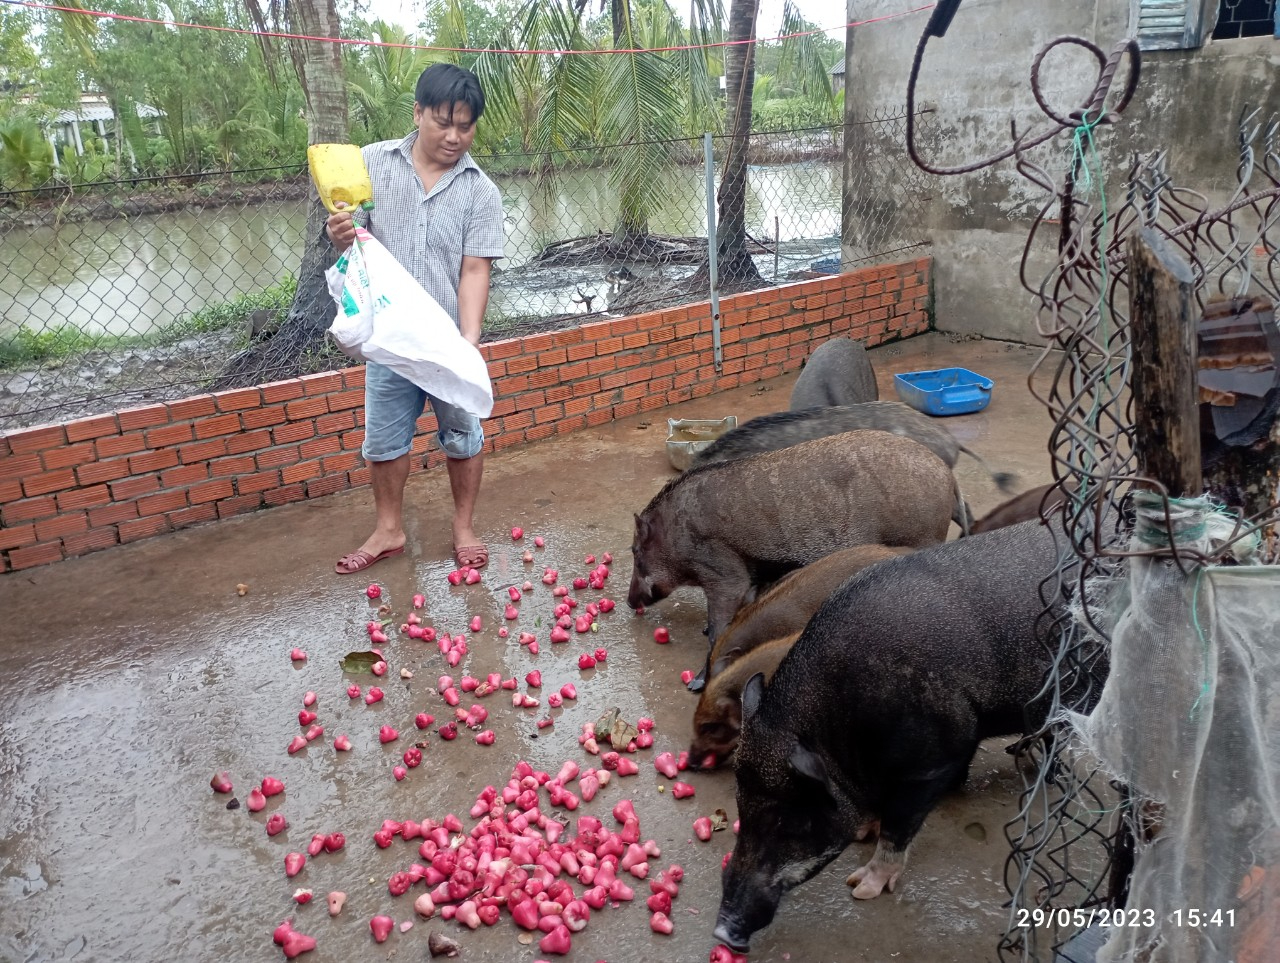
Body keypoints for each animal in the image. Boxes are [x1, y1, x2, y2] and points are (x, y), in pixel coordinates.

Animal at [629, 430, 962, 650]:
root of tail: (948, 477)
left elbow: (722, 615)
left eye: (635, 551)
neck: (676, 533)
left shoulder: (721, 568)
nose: (630, 602)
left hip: (921, 535)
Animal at [716, 519, 1064, 947]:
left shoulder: (932, 762)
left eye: (787, 821)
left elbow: (901, 823)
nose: (721, 931)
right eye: (740, 807)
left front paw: (859, 888)